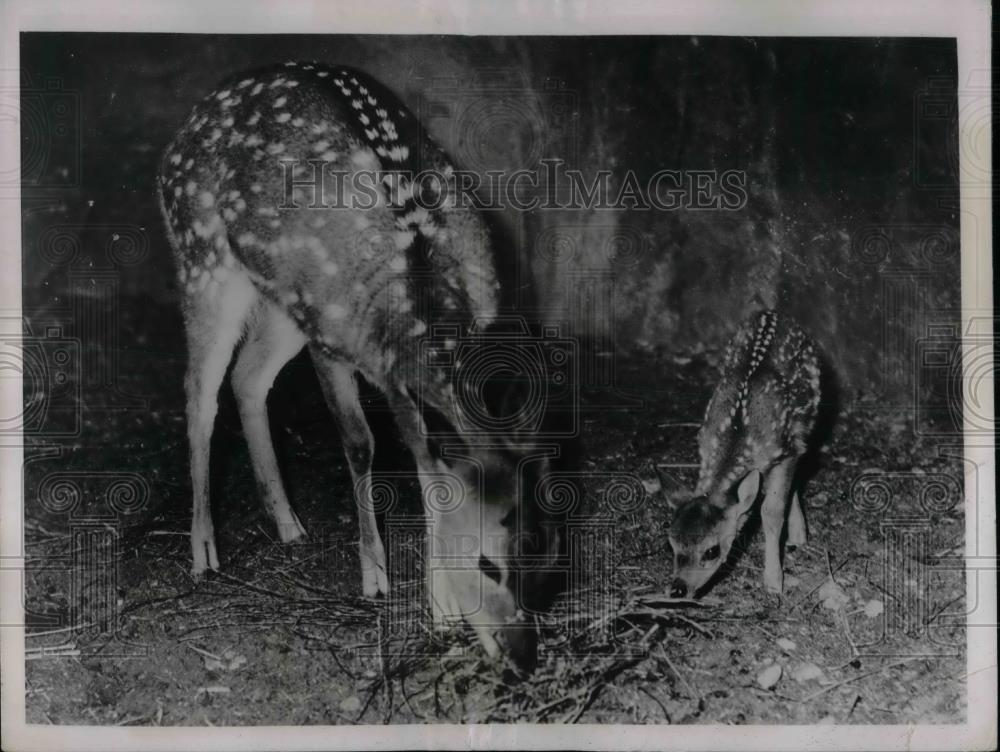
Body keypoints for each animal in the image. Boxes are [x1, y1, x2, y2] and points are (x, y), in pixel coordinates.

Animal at [157, 60, 564, 668]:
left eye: (543, 553)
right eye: (486, 563)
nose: (522, 654)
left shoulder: (390, 371)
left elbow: (424, 463)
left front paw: (440, 609)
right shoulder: (329, 338)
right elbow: (360, 443)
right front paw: (376, 577)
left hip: (283, 301)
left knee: (249, 377)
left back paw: (288, 523)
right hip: (202, 258)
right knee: (199, 392)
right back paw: (204, 550)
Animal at [664, 312, 820, 600]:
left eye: (711, 551)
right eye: (671, 544)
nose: (678, 589)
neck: (739, 434)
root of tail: (774, 314)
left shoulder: (784, 452)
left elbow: (771, 512)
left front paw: (774, 581)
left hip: (806, 424)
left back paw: (798, 536)